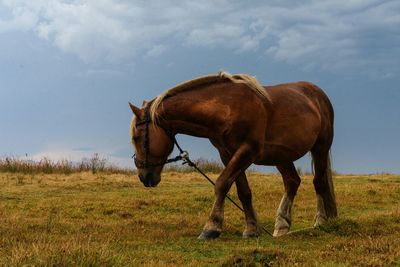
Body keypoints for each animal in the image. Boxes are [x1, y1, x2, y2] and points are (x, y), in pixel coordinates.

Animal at [130, 71, 336, 241]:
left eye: (137, 137)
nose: (144, 176)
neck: (227, 107)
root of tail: (318, 95)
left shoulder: (247, 151)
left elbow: (222, 184)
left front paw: (211, 227)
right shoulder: (228, 154)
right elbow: (243, 191)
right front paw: (252, 229)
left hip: (320, 147)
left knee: (318, 182)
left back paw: (320, 220)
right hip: (281, 155)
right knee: (292, 182)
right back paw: (282, 225)